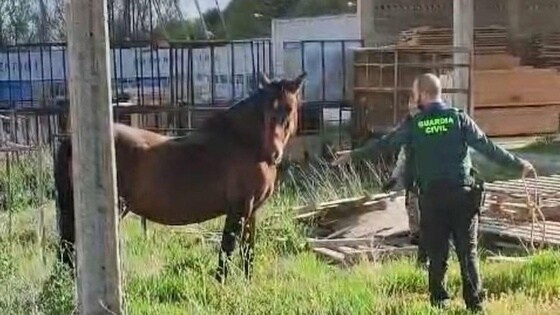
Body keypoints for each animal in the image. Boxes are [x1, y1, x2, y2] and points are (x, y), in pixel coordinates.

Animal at [55, 73, 306, 282]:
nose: (274, 154)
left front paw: (247, 283)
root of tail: (72, 140)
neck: (246, 144)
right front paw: (221, 285)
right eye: (266, 111)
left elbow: (248, 251)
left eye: (289, 108)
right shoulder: (238, 209)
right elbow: (227, 249)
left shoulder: (252, 211)